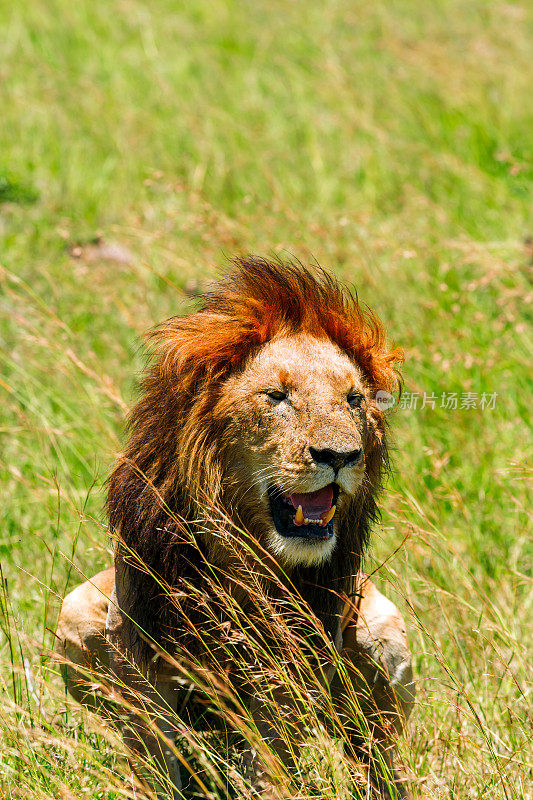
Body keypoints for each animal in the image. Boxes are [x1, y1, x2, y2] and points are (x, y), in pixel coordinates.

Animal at [58, 260, 416, 796]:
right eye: (277, 397)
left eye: (354, 400)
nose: (340, 456)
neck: (242, 556)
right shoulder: (140, 651)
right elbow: (154, 758)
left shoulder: (286, 665)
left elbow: (270, 759)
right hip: (75, 610)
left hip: (381, 638)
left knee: (377, 757)